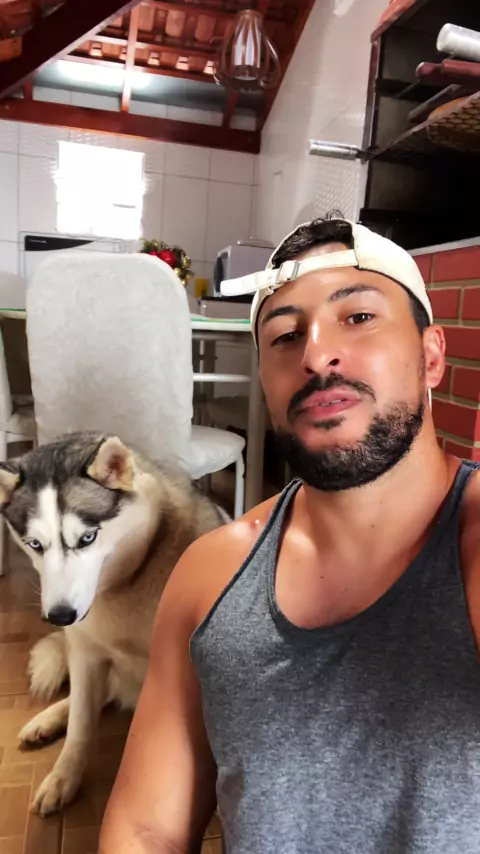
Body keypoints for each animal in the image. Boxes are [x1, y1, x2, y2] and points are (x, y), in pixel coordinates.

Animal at [0, 432, 226, 816]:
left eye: (87, 538)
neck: (128, 582)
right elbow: (80, 727)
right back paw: (48, 720)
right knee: (88, 698)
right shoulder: (86, 654)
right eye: (35, 545)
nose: (60, 616)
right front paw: (64, 777)